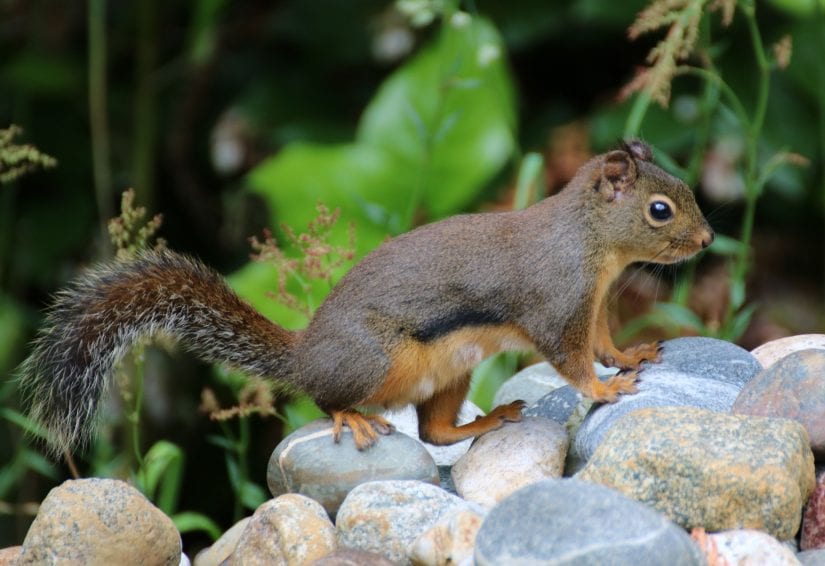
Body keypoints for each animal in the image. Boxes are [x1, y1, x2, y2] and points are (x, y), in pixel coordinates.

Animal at [16, 140, 712, 454]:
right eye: (659, 209)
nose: (707, 238)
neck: (592, 245)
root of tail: (304, 354)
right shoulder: (557, 303)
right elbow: (571, 360)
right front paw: (606, 390)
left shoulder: (592, 308)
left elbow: (604, 343)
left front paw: (630, 358)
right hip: (378, 361)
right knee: (329, 399)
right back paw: (350, 416)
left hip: (449, 371)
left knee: (434, 431)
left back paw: (486, 420)